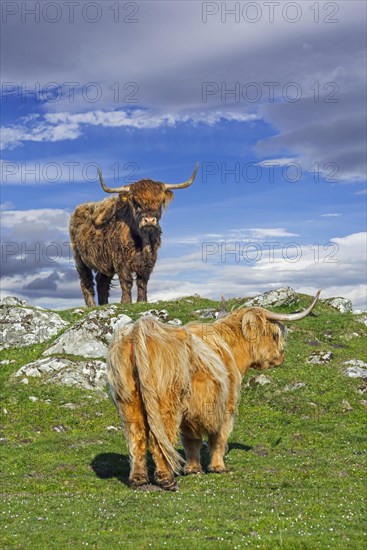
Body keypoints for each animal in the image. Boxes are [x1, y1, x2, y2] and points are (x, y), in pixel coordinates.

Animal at [70, 164, 200, 306]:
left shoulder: (149, 261)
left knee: (101, 281)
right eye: (136, 202)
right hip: (80, 258)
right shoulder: (120, 260)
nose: (149, 220)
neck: (143, 241)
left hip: (105, 261)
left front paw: (142, 301)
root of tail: (80, 207)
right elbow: (126, 282)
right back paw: (91, 306)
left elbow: (142, 282)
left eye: (159, 202)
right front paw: (126, 302)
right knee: (86, 282)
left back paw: (104, 304)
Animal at [108, 292, 320, 494]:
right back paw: (167, 480)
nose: (281, 357)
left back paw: (138, 480)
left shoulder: (191, 412)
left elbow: (191, 441)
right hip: (165, 403)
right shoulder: (227, 404)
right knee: (158, 438)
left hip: (129, 401)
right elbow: (219, 437)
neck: (231, 349)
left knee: (136, 437)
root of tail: (140, 329)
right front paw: (218, 467)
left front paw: (193, 469)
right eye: (275, 335)